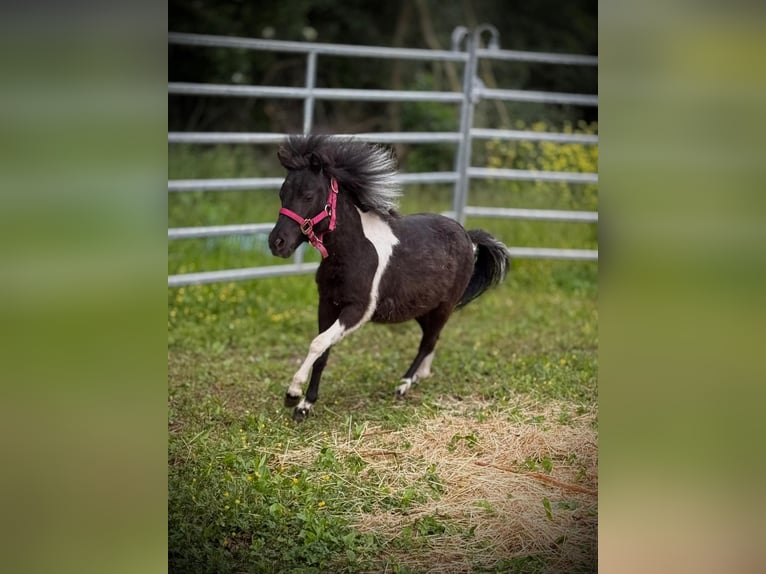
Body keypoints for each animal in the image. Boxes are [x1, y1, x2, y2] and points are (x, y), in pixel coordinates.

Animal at [268, 135, 510, 421]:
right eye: (282, 194)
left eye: (307, 195)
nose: (277, 243)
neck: (353, 251)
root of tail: (468, 236)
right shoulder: (327, 304)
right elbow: (323, 351)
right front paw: (305, 405)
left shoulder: (358, 310)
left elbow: (318, 343)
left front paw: (292, 394)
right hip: (423, 308)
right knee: (432, 339)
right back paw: (421, 375)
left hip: (444, 307)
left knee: (428, 342)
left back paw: (404, 384)